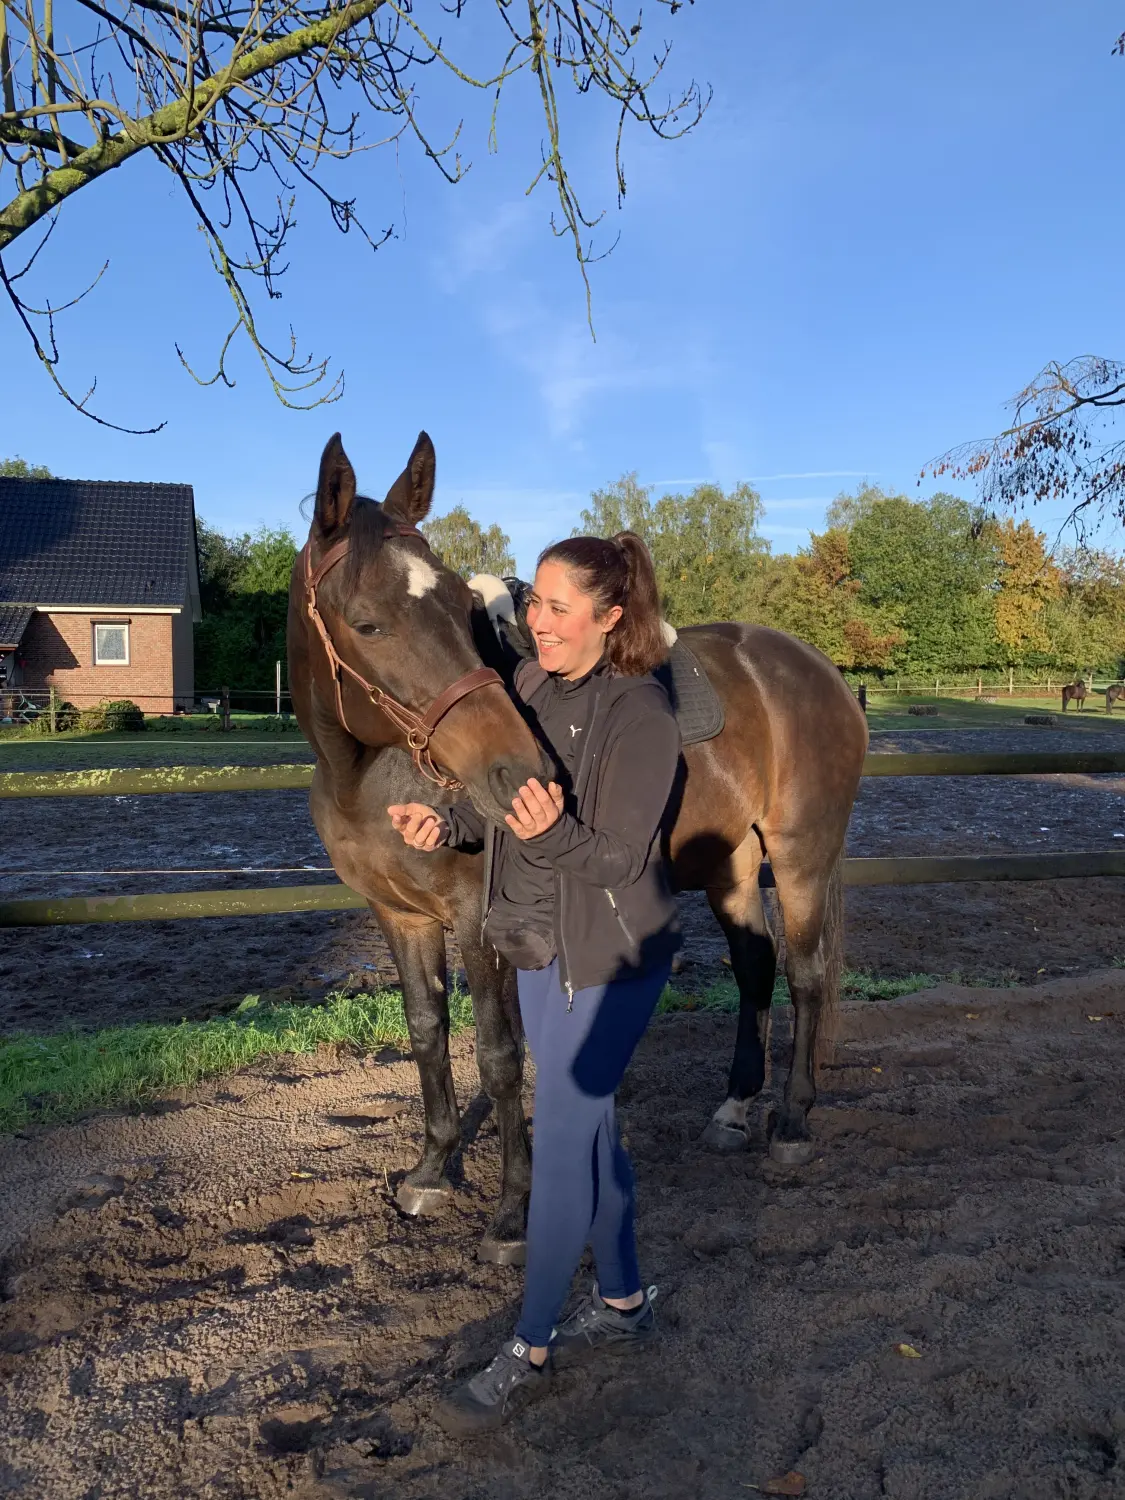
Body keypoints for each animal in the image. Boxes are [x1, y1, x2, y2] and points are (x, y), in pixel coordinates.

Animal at [291, 438, 870, 1266]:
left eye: (458, 612)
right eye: (367, 624)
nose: (514, 769)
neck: (368, 774)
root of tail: (818, 670)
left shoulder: (478, 923)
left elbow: (499, 1057)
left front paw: (511, 1214)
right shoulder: (398, 917)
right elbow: (426, 1033)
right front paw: (431, 1170)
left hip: (799, 858)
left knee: (806, 974)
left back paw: (790, 1122)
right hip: (728, 865)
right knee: (756, 967)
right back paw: (734, 1107)